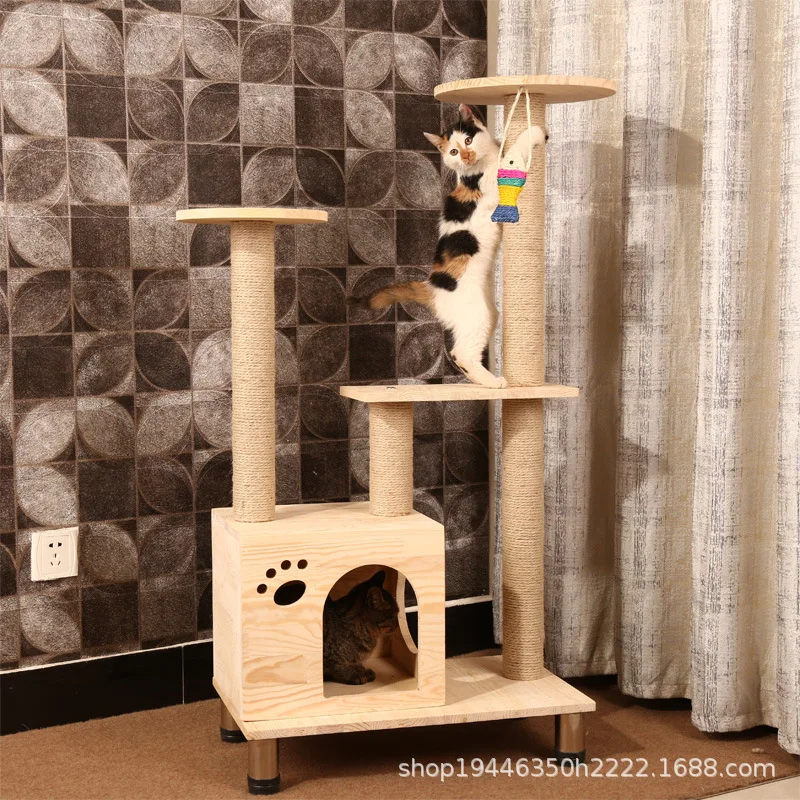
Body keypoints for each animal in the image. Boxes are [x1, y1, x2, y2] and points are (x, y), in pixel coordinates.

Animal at [351, 104, 545, 388]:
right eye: (453, 152)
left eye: (467, 141)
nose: (465, 155)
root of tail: (431, 286)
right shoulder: (494, 182)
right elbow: (512, 154)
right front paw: (536, 132)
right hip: (477, 317)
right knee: (460, 353)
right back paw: (493, 382)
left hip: (487, 314)